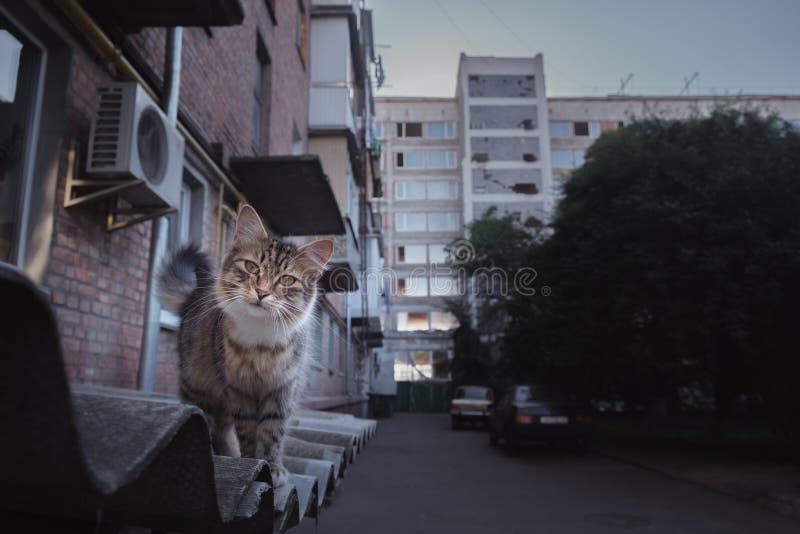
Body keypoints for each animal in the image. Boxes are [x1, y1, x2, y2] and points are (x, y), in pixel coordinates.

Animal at [158, 204, 332, 486]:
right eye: (251, 267)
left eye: (286, 280)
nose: (262, 292)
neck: (260, 342)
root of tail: (194, 294)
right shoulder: (239, 391)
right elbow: (249, 433)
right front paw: (254, 464)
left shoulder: (281, 391)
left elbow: (272, 434)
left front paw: (273, 467)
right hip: (199, 386)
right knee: (212, 425)